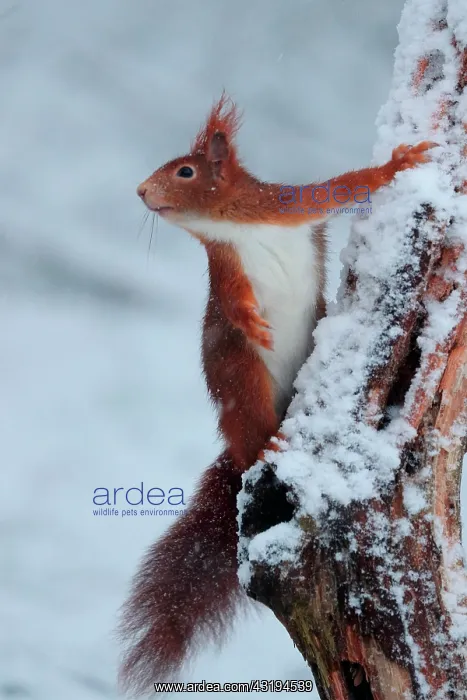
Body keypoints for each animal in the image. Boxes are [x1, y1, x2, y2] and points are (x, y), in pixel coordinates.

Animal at [119, 92, 436, 694]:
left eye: (185, 171)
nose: (141, 192)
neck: (232, 222)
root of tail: (239, 446)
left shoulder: (289, 206)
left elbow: (343, 187)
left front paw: (400, 163)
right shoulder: (225, 267)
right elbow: (232, 302)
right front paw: (253, 323)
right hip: (244, 384)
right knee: (254, 436)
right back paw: (266, 447)